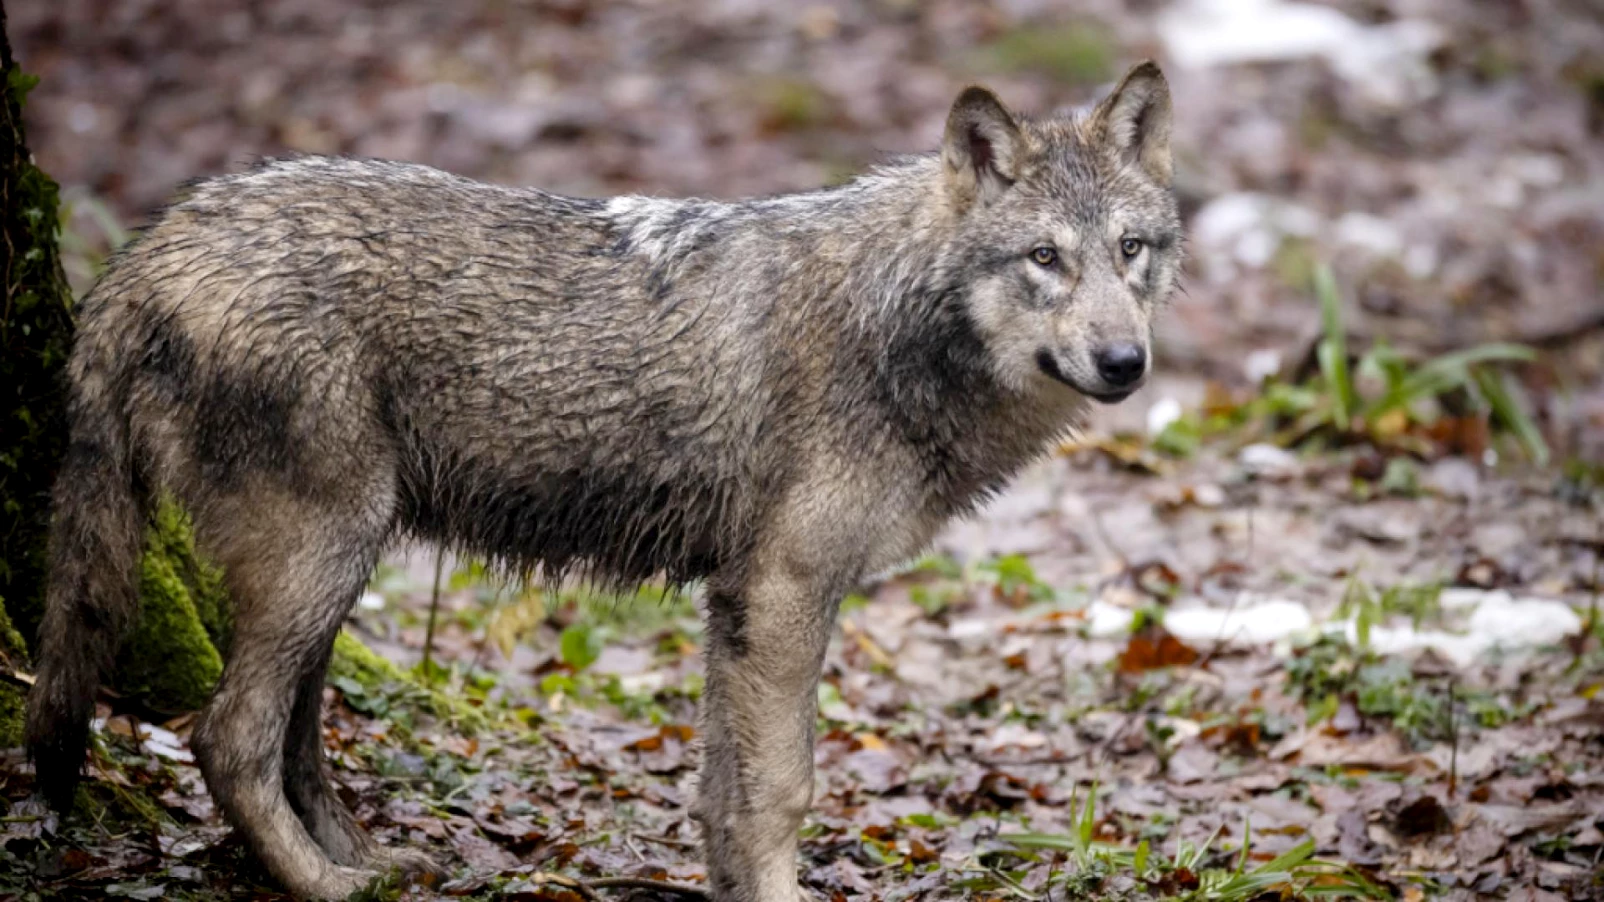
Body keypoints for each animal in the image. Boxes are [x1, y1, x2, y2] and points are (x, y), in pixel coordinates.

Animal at [25, 62, 1180, 899]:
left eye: (1131, 249)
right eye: (1043, 258)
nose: (1125, 362)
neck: (894, 325)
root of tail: (147, 252)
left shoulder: (734, 604)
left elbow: (721, 795)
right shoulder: (784, 593)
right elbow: (782, 789)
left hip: (328, 573)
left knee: (291, 736)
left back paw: (363, 859)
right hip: (320, 560)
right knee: (227, 736)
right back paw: (325, 885)